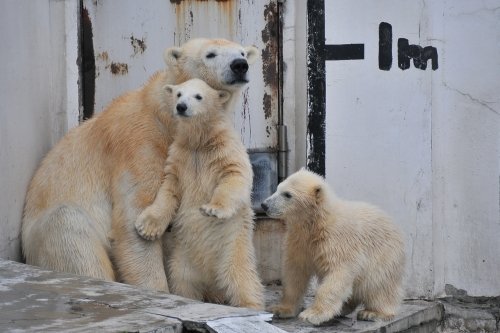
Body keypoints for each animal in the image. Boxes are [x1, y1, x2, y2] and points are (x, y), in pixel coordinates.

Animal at [22, 38, 258, 290]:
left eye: (242, 52)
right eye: (210, 54)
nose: (240, 65)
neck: (165, 116)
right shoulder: (140, 144)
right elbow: (133, 216)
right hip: (45, 234)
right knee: (70, 229)